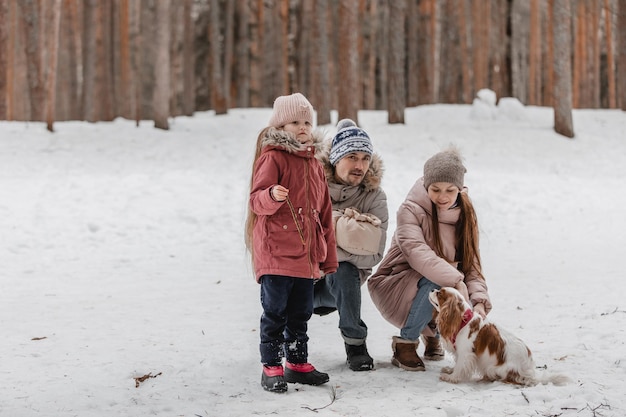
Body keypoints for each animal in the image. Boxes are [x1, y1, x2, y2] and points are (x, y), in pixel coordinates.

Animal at [426, 288, 568, 386]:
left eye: (439, 294)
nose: (432, 289)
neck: (463, 320)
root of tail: (529, 373)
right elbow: (457, 364)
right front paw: (450, 370)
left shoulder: (466, 354)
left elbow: (460, 367)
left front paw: (451, 377)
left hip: (495, 368)